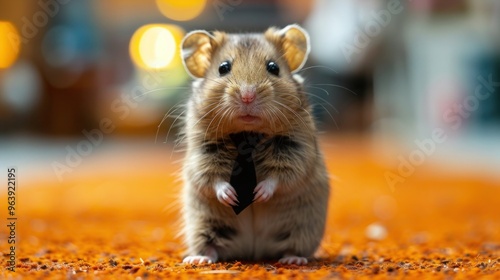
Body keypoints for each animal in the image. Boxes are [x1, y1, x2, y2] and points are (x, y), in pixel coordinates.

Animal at [178, 23, 330, 264]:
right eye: (223, 68)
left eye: (273, 67)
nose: (247, 96)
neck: (247, 134)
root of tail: (254, 251)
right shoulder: (203, 151)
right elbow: (212, 177)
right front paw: (230, 195)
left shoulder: (295, 149)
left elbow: (279, 176)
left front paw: (259, 194)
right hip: (203, 223)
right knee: (211, 246)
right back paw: (199, 259)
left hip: (303, 226)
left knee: (293, 246)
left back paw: (293, 259)